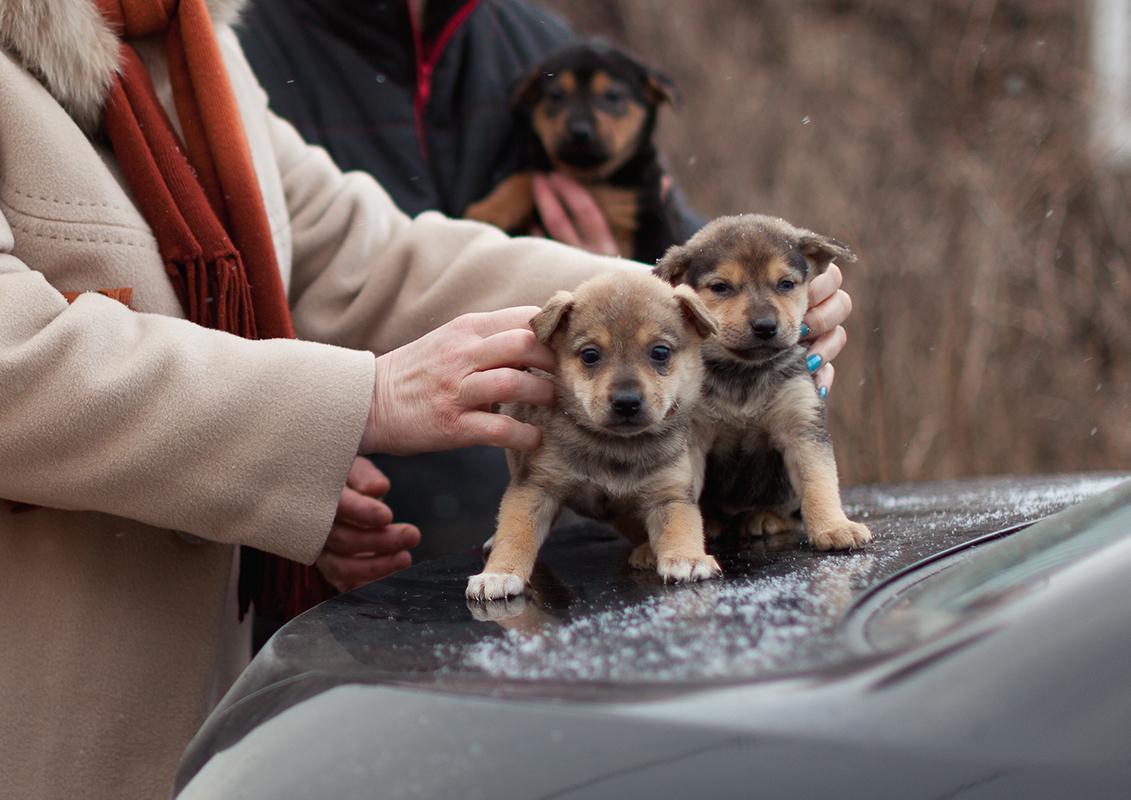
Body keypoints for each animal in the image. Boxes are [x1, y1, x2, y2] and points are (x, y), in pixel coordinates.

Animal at [461, 41, 678, 262]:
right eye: (556, 96)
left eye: (613, 96)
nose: (579, 132)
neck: (588, 179)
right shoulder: (543, 168)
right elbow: (527, 176)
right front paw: (488, 211)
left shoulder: (650, 219)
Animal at [463, 270, 719, 601]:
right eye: (590, 355)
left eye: (660, 352)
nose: (626, 402)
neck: (616, 446)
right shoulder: (535, 486)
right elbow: (516, 533)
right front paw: (499, 573)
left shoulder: (670, 493)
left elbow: (682, 526)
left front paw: (688, 559)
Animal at [655, 213, 873, 549]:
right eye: (721, 287)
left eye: (786, 284)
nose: (765, 326)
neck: (744, 373)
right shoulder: (691, 436)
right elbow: (682, 497)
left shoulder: (802, 425)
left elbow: (818, 481)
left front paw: (834, 527)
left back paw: (765, 518)